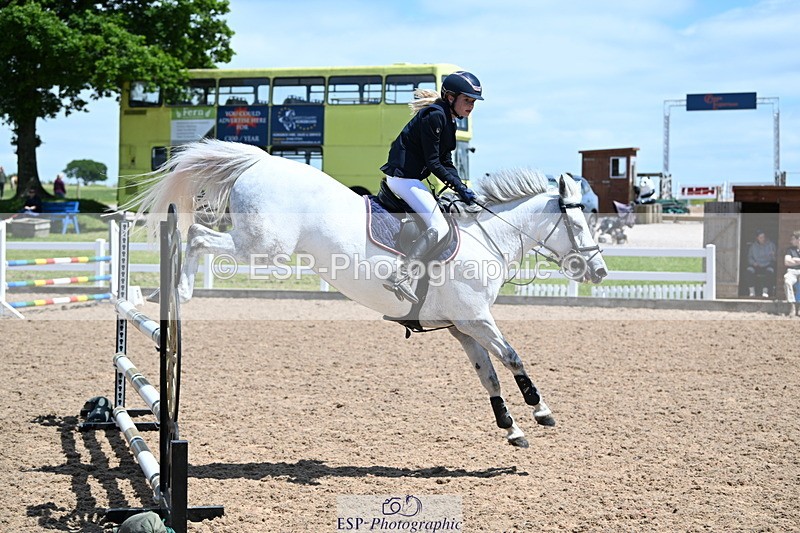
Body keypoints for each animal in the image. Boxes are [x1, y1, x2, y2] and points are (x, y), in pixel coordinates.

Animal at [130, 139, 608, 447]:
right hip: (265, 248)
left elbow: (488, 373)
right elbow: (512, 357)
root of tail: (262, 162)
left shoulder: (463, 327)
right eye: (578, 222)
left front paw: (511, 427)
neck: (486, 238)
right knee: (196, 237)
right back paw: (178, 292)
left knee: (196, 237)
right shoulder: (476, 319)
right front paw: (540, 410)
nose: (600, 270)